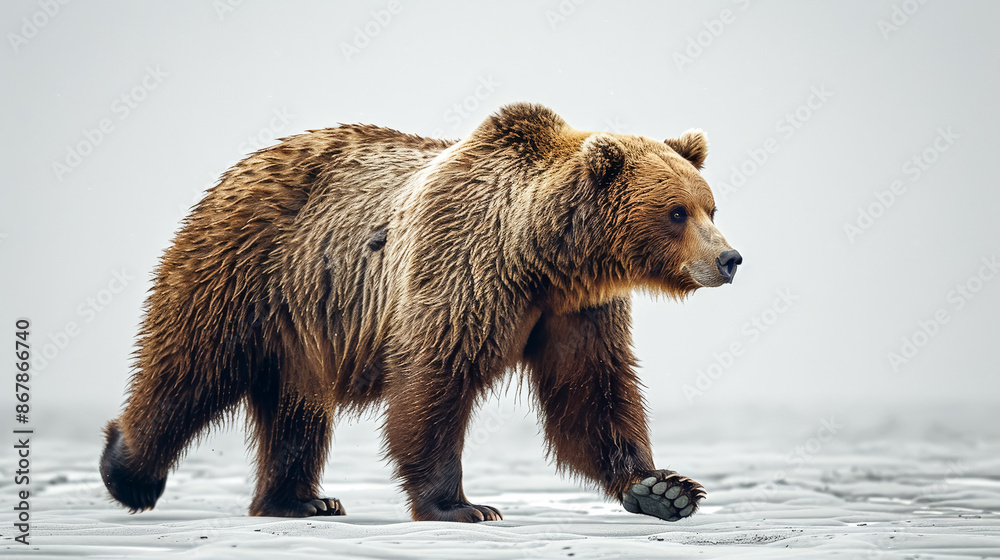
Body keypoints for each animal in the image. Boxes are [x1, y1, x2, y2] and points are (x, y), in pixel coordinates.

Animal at [100, 102, 742, 523]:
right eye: (677, 212)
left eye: (710, 206)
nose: (730, 258)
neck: (542, 255)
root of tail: (236, 169)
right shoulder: (462, 270)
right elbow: (435, 382)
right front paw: (461, 505)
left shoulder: (577, 311)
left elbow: (592, 392)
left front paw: (663, 489)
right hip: (241, 269)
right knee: (188, 368)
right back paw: (127, 470)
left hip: (299, 328)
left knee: (294, 407)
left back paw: (300, 499)